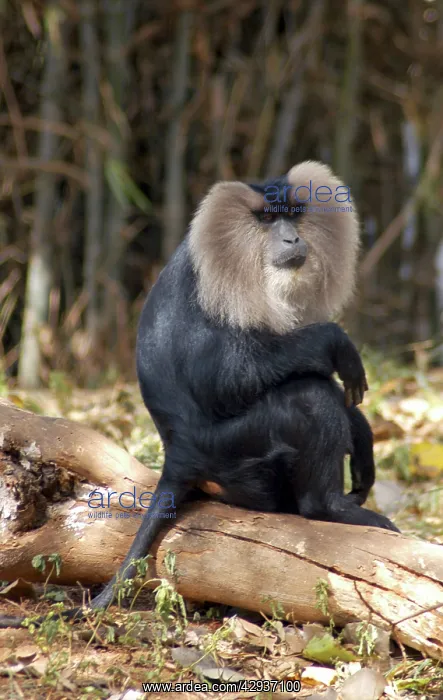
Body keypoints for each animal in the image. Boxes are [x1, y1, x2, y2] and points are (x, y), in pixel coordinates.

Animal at [0, 161, 399, 629]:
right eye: (267, 218)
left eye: (293, 214)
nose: (291, 239)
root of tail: (178, 456)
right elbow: (225, 380)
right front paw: (337, 344)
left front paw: (362, 431)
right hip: (231, 452)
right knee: (309, 396)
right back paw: (331, 509)